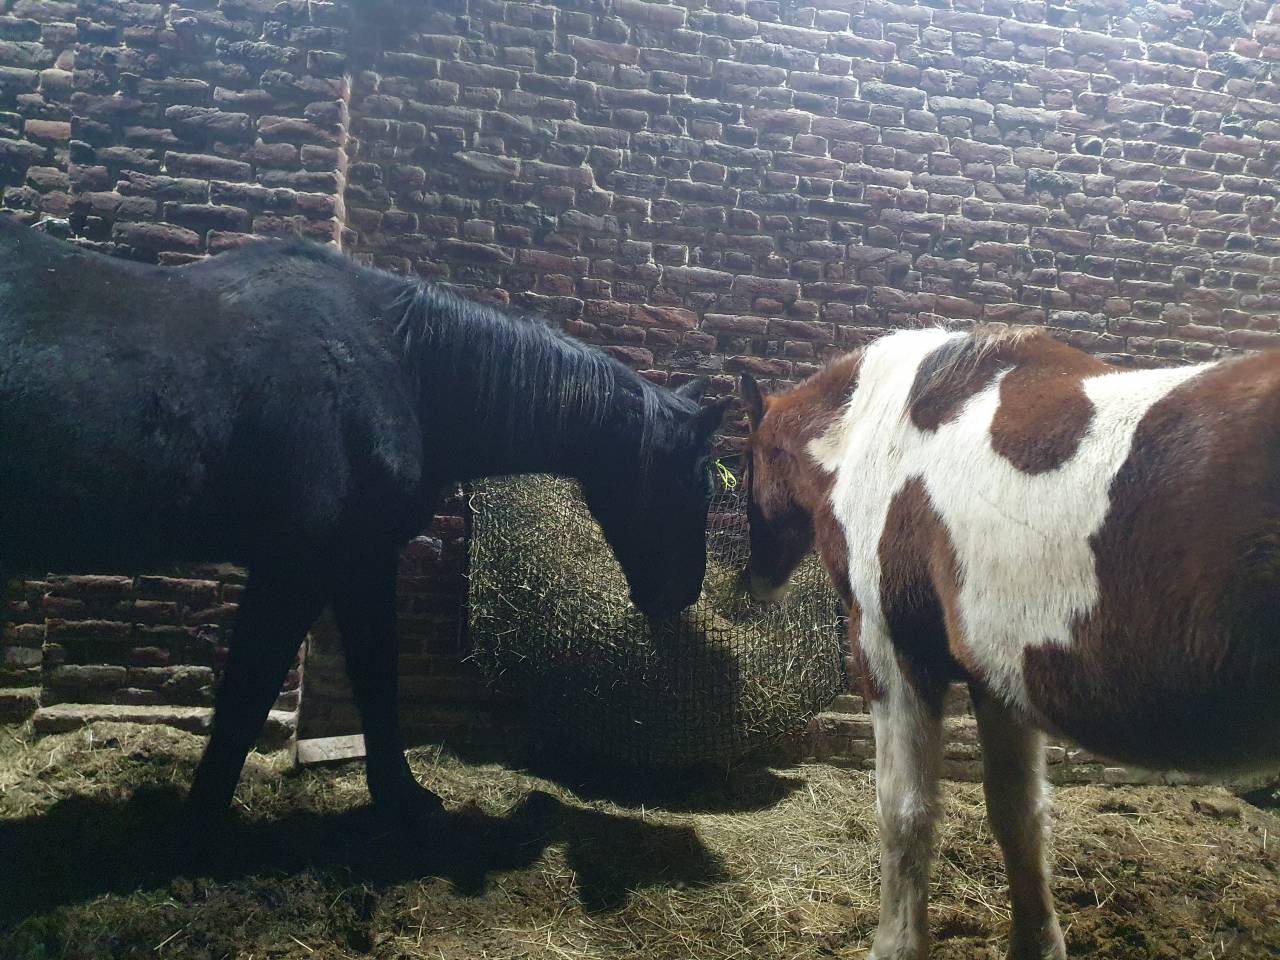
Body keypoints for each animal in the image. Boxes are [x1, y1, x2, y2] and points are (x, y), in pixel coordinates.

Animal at [0, 214, 727, 823]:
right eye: (696, 484)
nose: (681, 594)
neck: (396, 363)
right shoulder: (296, 566)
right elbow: (249, 692)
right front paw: (201, 819)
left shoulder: (360, 560)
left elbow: (376, 674)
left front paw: (400, 794)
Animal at [737, 325, 1280, 960]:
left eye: (745, 463)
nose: (753, 582)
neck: (880, 429)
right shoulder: (997, 677)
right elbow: (1018, 812)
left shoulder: (891, 655)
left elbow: (905, 812)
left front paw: (897, 944)